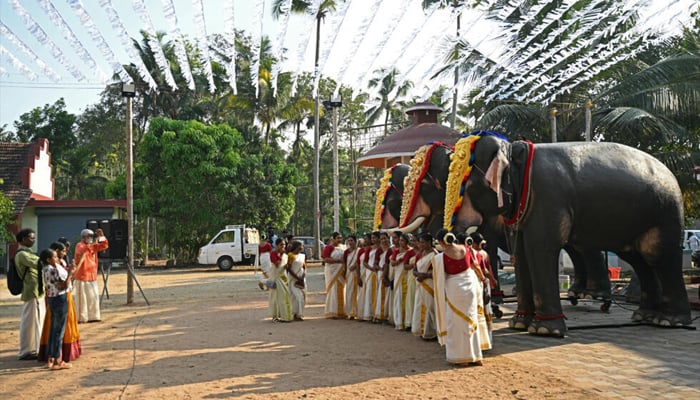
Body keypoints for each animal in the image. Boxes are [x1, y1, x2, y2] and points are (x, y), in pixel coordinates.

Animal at [454, 131, 696, 334]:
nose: (462, 238)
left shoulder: (548, 196)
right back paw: (643, 316)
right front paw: (519, 324)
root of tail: (671, 175)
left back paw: (669, 321)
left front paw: (544, 330)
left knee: (658, 255)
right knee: (638, 259)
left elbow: (539, 248)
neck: (514, 150)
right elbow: (521, 253)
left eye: (469, 186)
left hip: (665, 212)